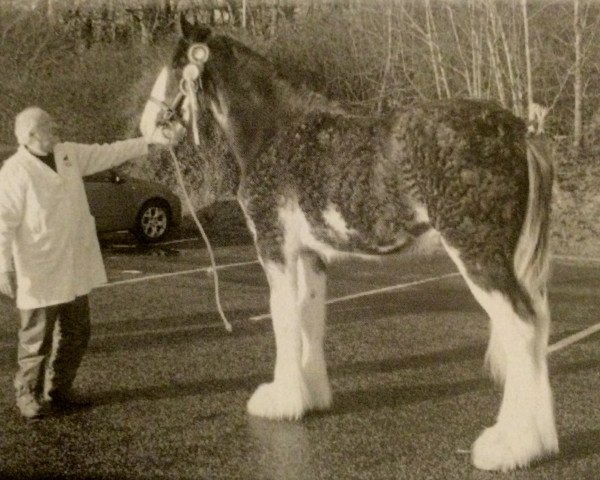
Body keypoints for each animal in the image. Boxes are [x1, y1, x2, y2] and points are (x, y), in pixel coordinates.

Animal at [139, 19, 556, 472]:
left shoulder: (274, 247)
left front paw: (280, 400)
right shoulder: (312, 255)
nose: (147, 126)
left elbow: (283, 319)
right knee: (537, 328)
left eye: (176, 64)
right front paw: (311, 397)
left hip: (478, 256)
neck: (276, 131)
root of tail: (520, 133)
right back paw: (539, 442)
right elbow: (309, 318)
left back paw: (509, 446)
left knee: (521, 328)